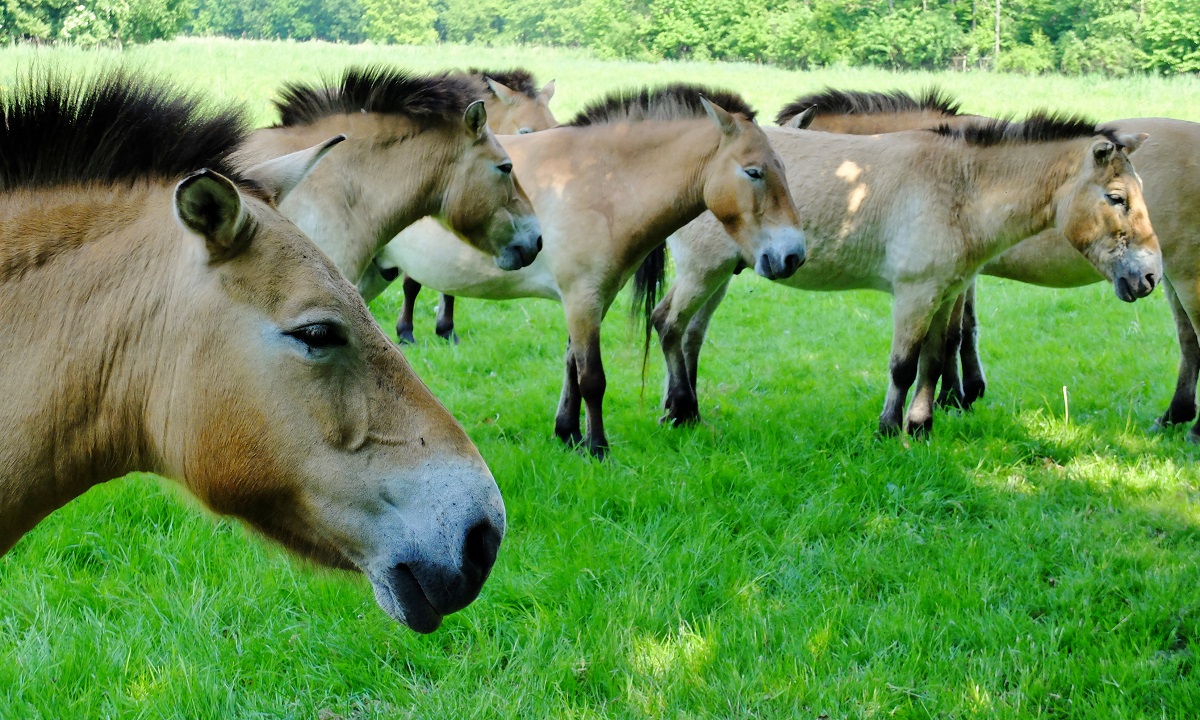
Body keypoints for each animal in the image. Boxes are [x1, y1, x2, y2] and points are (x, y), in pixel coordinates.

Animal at [374, 84, 806, 456]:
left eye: (785, 169)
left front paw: (567, 433)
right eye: (753, 172)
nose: (793, 255)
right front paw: (597, 447)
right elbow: (592, 379)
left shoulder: (593, 299)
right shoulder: (582, 299)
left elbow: (571, 367)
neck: (599, 184)